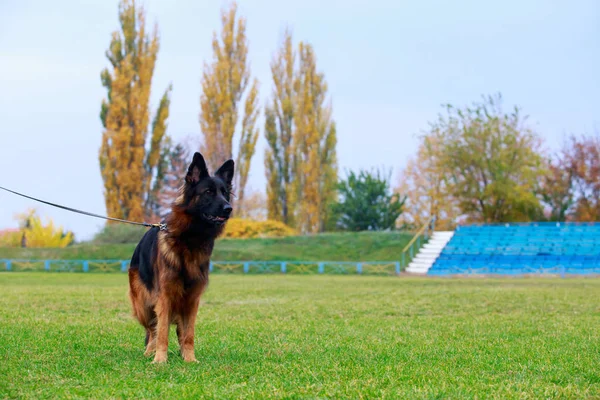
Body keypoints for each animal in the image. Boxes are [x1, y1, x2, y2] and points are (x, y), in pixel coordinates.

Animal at [127, 152, 233, 364]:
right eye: (208, 192)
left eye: (224, 192)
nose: (229, 208)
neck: (189, 240)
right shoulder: (165, 297)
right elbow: (162, 333)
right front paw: (160, 360)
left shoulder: (192, 299)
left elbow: (188, 334)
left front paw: (190, 359)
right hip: (143, 304)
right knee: (152, 329)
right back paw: (150, 352)